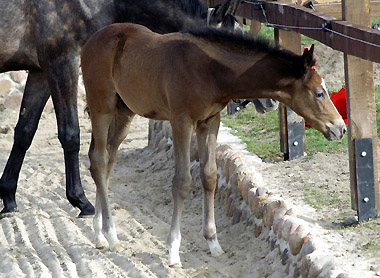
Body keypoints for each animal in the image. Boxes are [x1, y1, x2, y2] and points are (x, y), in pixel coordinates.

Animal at [0, 0, 242, 216]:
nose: (240, 102)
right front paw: (81, 200)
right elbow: (70, 134)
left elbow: (24, 132)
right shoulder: (62, 63)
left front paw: (9, 198)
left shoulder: (40, 71)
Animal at [81, 23, 346, 268]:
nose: (340, 128)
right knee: (99, 160)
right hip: (101, 107)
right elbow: (182, 182)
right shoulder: (181, 121)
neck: (209, 71)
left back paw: (99, 232)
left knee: (107, 160)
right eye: (319, 93)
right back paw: (110, 235)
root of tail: (92, 39)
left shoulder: (209, 121)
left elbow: (209, 176)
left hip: (124, 111)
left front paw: (213, 242)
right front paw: (173, 250)